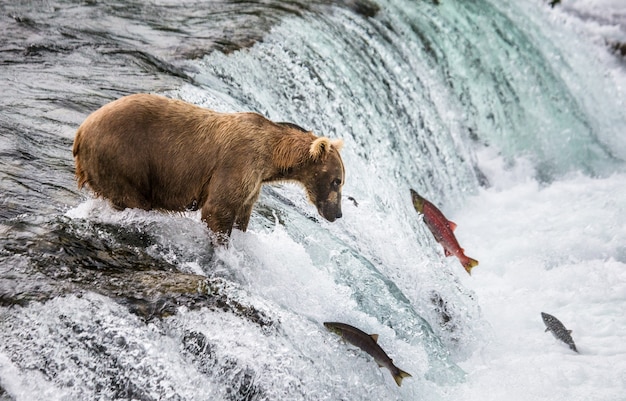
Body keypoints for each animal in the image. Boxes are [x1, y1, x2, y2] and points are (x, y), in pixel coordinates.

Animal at [74, 92, 346, 239]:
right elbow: (218, 209)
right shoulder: (238, 162)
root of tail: (81, 130)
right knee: (133, 199)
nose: (337, 214)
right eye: (337, 181)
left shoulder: (253, 184)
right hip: (124, 159)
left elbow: (241, 214)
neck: (271, 156)